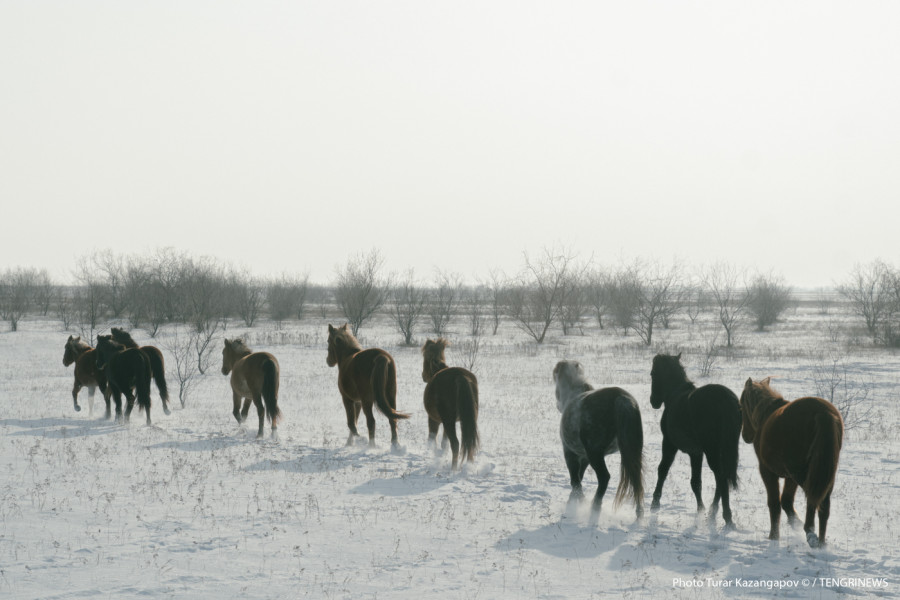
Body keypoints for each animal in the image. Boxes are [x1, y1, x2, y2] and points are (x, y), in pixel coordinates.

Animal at [420, 338, 478, 468]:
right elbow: (444, 443)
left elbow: (432, 439)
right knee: (469, 442)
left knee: (455, 443)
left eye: (425, 356)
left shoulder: (434, 419)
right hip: (468, 419)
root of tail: (460, 376)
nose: (423, 376)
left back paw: (453, 468)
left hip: (448, 421)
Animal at [552, 360, 644, 520]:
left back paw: (594, 508)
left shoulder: (570, 453)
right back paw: (639, 513)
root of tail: (621, 398)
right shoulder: (584, 457)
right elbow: (578, 479)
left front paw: (577, 504)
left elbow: (575, 482)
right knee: (636, 477)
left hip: (595, 454)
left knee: (604, 478)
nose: (557, 405)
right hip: (631, 452)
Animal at [652, 354, 740, 528]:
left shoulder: (669, 444)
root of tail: (725, 399)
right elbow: (696, 482)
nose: (654, 401)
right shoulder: (696, 453)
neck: (674, 396)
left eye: (652, 374)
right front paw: (701, 509)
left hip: (712, 451)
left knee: (720, 477)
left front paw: (655, 503)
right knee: (722, 478)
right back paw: (714, 511)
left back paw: (726, 516)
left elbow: (663, 470)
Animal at [740, 380, 844, 548]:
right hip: (823, 475)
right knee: (823, 505)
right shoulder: (790, 477)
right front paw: (794, 523)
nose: (746, 436)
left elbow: (775, 504)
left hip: (803, 474)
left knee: (812, 499)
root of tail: (823, 413)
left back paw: (810, 533)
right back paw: (821, 542)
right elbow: (786, 502)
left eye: (741, 405)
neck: (765, 415)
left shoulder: (768, 472)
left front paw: (774, 537)